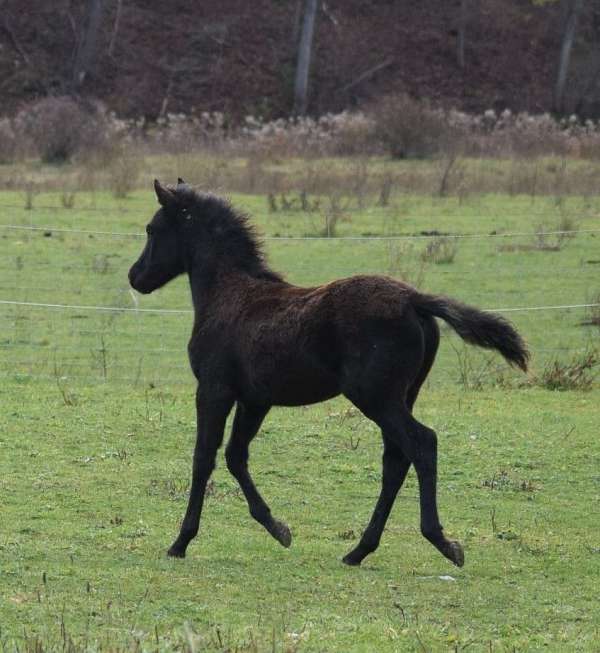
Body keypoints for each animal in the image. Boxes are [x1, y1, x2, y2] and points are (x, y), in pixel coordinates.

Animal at [128, 179, 529, 567]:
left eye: (151, 229)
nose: (136, 277)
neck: (229, 293)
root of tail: (415, 299)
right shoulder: (255, 400)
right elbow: (235, 455)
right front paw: (279, 528)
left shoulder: (214, 390)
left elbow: (203, 457)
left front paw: (180, 542)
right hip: (403, 394)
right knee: (396, 459)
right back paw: (359, 551)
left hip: (375, 396)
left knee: (422, 444)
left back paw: (442, 543)